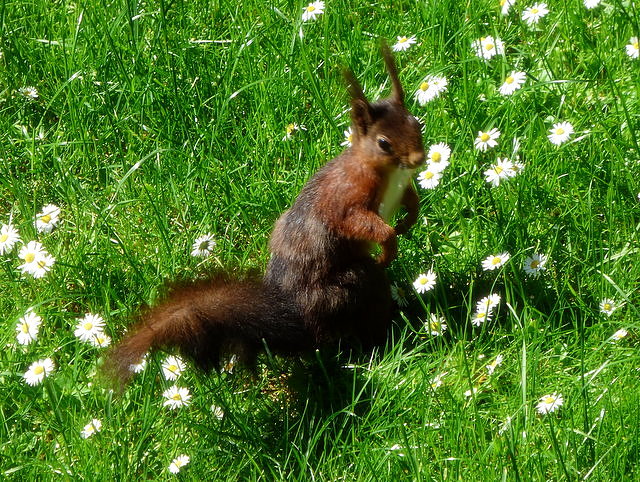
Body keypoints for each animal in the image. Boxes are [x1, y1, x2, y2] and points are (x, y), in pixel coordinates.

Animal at [104, 43, 425, 385]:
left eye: (416, 122)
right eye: (383, 143)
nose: (419, 159)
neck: (383, 170)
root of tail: (302, 321)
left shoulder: (400, 187)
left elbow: (411, 199)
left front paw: (409, 219)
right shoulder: (346, 199)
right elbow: (356, 223)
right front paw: (389, 245)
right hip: (355, 286)